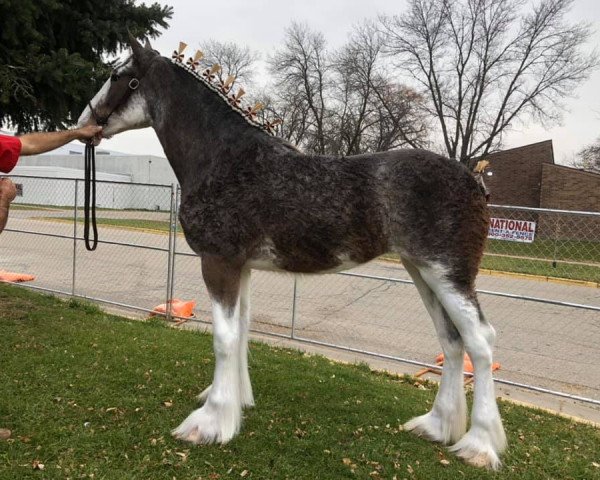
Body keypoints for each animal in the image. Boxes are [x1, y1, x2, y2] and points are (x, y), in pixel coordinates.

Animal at [76, 35, 506, 470]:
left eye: (118, 76)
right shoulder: (242, 268)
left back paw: (478, 445)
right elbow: (241, 331)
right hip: (422, 271)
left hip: (447, 274)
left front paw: (209, 423)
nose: (84, 124)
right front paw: (236, 403)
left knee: (480, 342)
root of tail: (474, 180)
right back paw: (436, 426)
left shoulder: (218, 263)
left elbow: (223, 339)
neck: (223, 158)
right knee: (451, 341)